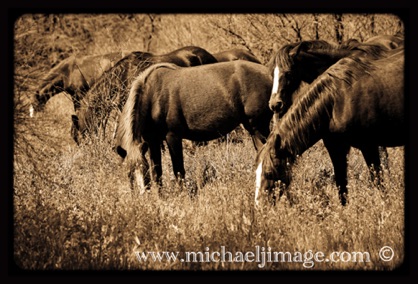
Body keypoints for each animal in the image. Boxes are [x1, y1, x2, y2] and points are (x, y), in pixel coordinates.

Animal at [114, 61, 272, 194]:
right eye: (129, 173)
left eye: (143, 171)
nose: (142, 197)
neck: (152, 95)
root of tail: (270, 74)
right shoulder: (152, 142)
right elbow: (157, 172)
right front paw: (159, 197)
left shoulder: (173, 137)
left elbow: (178, 170)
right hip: (254, 130)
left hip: (259, 128)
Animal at [255, 47, 404, 206]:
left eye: (269, 173)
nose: (259, 206)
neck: (337, 101)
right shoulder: (336, 147)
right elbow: (341, 185)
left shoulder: (369, 146)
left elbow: (378, 181)